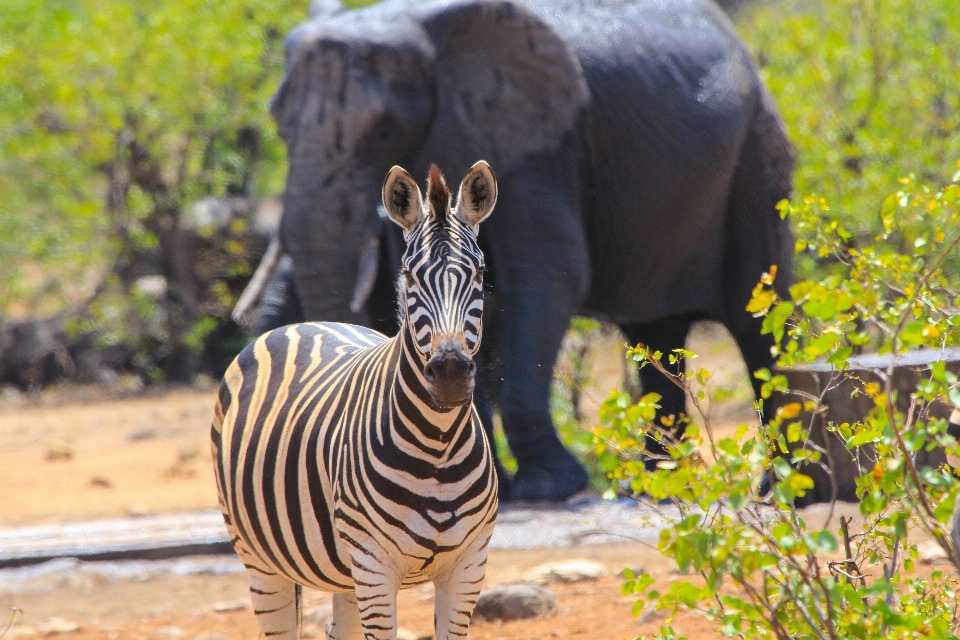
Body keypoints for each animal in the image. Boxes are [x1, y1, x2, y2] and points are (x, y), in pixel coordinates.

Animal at [212, 161, 502, 640]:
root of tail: (303, 323)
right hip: (259, 557)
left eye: (478, 275)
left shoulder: (468, 565)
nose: (449, 373)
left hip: (343, 573)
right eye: (410, 276)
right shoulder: (374, 563)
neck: (438, 445)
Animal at [249, 0, 796, 502]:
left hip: (758, 157)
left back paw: (780, 489)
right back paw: (655, 488)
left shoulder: (539, 150)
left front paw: (547, 488)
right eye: (278, 126)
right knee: (656, 334)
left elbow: (549, 280)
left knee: (757, 319)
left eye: (384, 129)